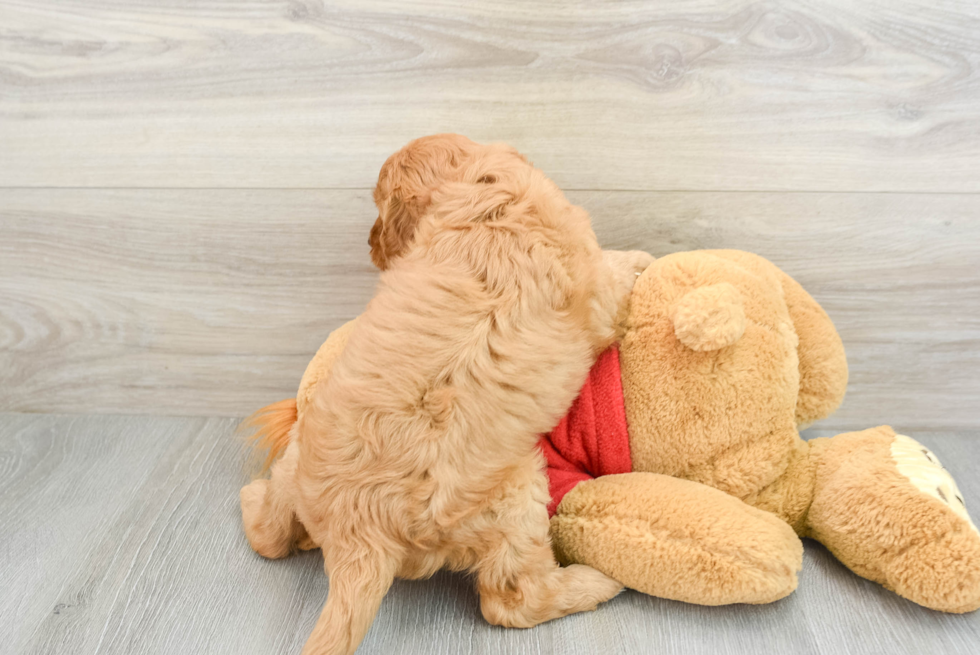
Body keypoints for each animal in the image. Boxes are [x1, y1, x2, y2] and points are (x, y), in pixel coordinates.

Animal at [239, 135, 652, 655]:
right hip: (514, 496)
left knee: (269, 535)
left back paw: (255, 502)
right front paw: (642, 259)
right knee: (514, 600)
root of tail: (358, 536)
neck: (481, 193)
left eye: (378, 209)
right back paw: (596, 583)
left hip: (296, 457)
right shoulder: (596, 290)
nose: (370, 247)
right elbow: (616, 271)